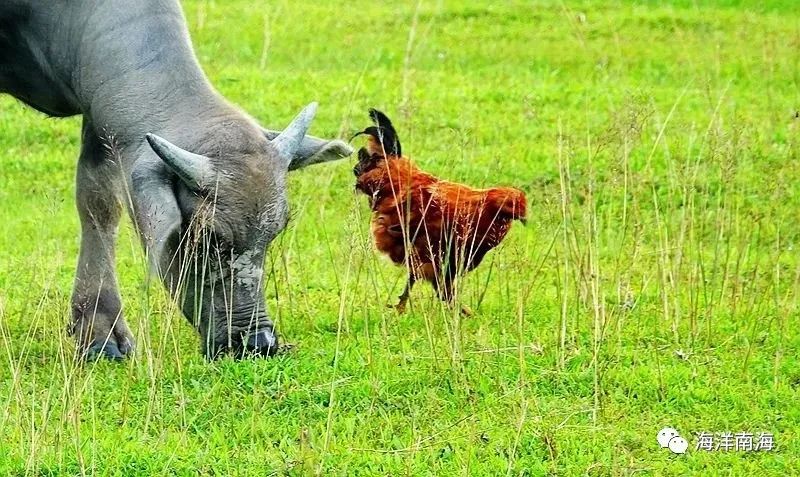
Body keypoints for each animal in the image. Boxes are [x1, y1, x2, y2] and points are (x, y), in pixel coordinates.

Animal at [0, 0, 352, 356]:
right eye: (208, 237)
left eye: (275, 231)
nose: (256, 342)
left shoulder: (102, 118)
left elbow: (98, 203)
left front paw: (101, 331)